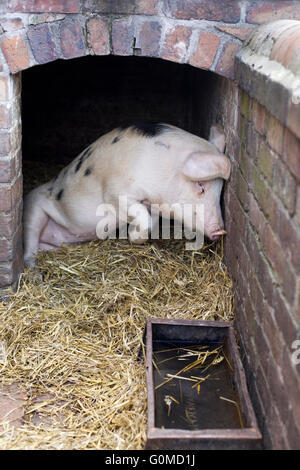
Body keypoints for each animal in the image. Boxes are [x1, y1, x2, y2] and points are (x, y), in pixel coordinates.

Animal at [23, 122, 231, 268]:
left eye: (221, 189)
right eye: (201, 185)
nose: (220, 231)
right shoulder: (115, 193)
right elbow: (144, 218)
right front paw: (131, 236)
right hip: (33, 210)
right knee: (29, 248)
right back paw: (34, 271)